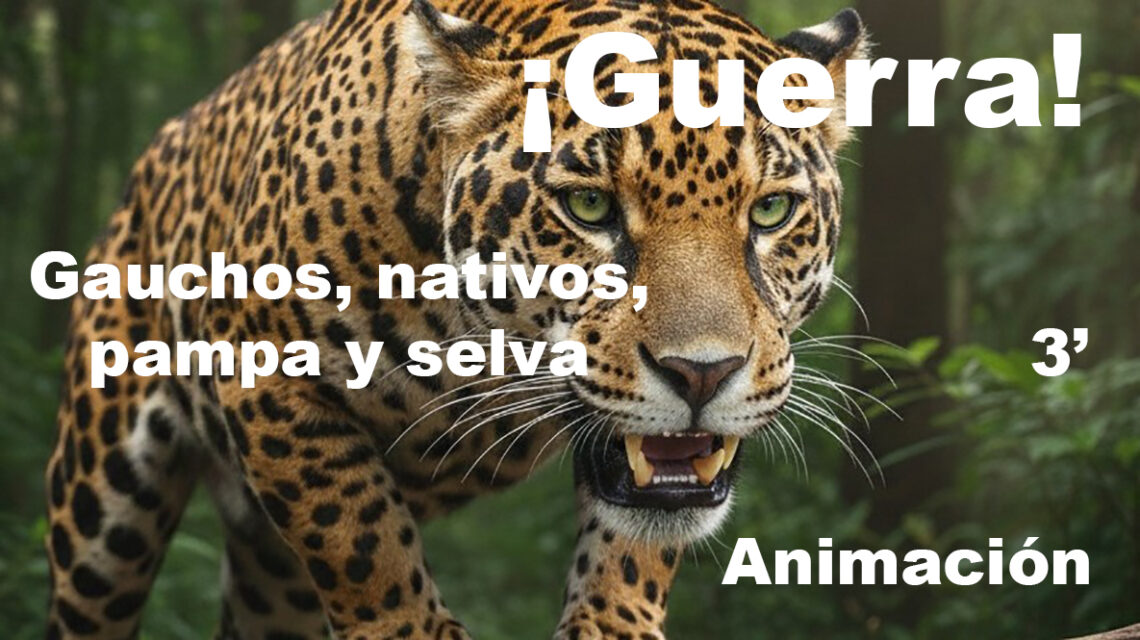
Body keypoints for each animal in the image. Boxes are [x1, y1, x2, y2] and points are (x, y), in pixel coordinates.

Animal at [43, 1, 866, 638]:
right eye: (589, 205)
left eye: (771, 210)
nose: (703, 374)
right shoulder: (261, 364)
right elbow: (354, 528)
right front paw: (407, 621)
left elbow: (635, 544)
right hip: (99, 510)